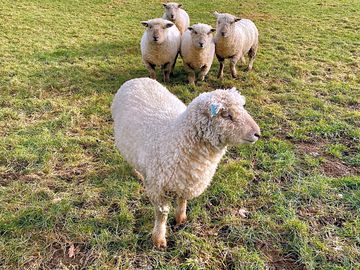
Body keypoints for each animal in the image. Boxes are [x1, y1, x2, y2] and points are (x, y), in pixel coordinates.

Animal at [111, 77, 260, 248]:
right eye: (227, 115)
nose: (258, 133)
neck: (177, 138)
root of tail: (137, 79)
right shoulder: (158, 189)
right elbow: (161, 215)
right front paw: (159, 239)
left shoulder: (187, 180)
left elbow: (182, 201)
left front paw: (181, 219)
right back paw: (137, 173)